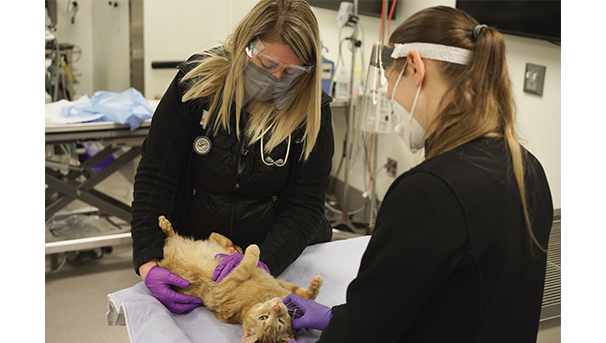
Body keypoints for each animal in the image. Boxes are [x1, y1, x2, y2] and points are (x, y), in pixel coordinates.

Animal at [158, 216, 328, 342]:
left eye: (280, 321)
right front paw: (252, 249)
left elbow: (302, 295)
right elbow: (247, 263)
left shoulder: (279, 284)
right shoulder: (219, 290)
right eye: (263, 318)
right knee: (183, 237)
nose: (277, 306)